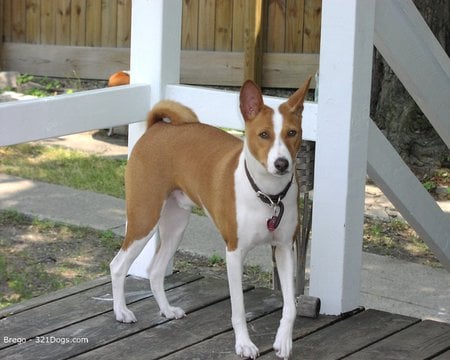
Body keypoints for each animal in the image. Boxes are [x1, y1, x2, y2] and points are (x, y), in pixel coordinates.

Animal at [110, 77, 312, 358]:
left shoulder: (283, 249)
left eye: (292, 133)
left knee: (155, 271)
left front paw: (283, 341)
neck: (268, 195)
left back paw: (167, 310)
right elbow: (238, 309)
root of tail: (157, 127)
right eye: (264, 135)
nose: (281, 163)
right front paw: (244, 344)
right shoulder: (234, 252)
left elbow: (290, 306)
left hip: (175, 226)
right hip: (144, 218)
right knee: (117, 265)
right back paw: (121, 312)